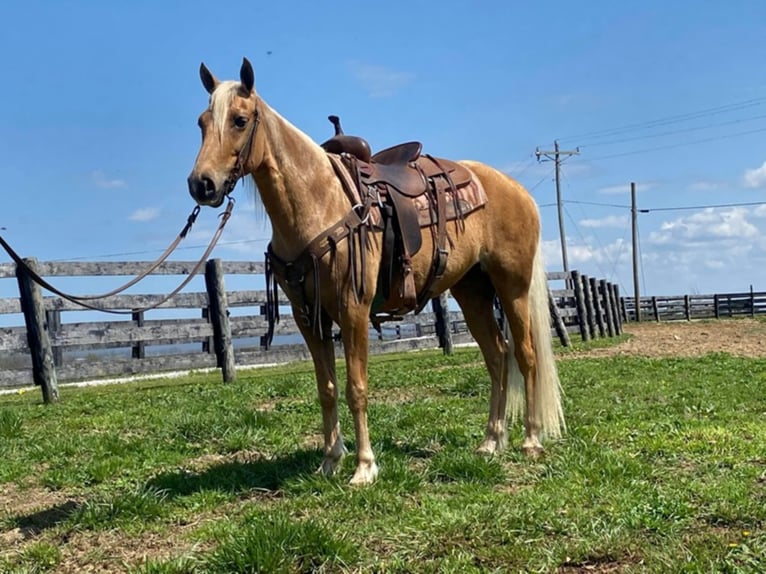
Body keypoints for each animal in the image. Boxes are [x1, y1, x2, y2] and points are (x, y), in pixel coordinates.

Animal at [189, 57, 568, 486]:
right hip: (472, 292)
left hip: (513, 286)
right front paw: (330, 460)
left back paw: (531, 440)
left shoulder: (352, 309)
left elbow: (356, 387)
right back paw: (491, 441)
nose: (201, 184)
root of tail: (518, 191)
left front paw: (364, 467)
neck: (318, 201)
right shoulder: (309, 317)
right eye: (202, 122)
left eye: (239, 120)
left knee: (526, 354)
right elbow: (327, 388)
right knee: (497, 356)